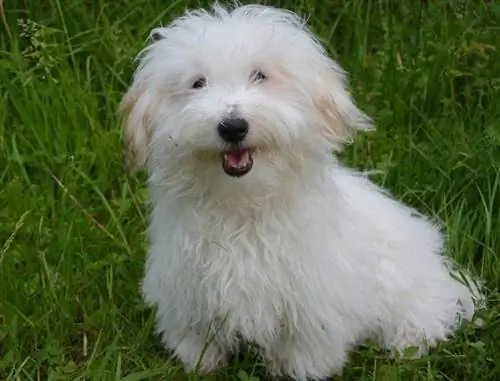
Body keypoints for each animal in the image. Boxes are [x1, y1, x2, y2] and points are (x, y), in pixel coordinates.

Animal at [119, 3, 482, 380]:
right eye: (197, 83)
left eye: (261, 76)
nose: (232, 126)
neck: (243, 204)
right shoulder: (187, 288)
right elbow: (197, 335)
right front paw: (200, 361)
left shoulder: (312, 300)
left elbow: (303, 347)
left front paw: (295, 369)